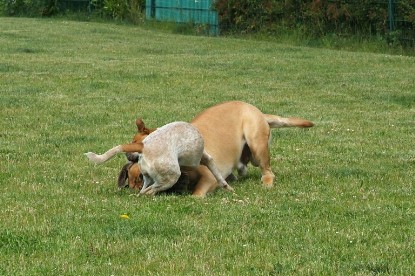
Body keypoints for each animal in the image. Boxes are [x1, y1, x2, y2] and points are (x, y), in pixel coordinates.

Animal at [85, 122, 234, 195]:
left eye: (133, 139)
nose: (127, 157)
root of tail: (144, 146)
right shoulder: (202, 159)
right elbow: (215, 171)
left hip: (148, 178)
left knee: (143, 191)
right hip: (170, 177)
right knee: (149, 192)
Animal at [118, 101, 314, 196]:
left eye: (136, 142)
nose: (127, 154)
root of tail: (257, 111)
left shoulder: (209, 177)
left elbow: (197, 193)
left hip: (257, 146)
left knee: (268, 171)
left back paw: (266, 181)